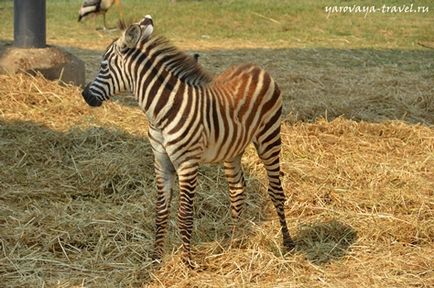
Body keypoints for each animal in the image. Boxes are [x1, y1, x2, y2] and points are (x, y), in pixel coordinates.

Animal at [81, 15, 294, 268]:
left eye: (103, 66)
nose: (85, 96)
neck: (160, 114)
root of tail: (256, 67)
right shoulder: (161, 161)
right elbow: (160, 212)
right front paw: (156, 259)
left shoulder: (187, 163)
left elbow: (184, 214)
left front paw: (188, 262)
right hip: (232, 148)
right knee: (237, 189)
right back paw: (233, 242)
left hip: (269, 137)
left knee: (276, 190)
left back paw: (287, 242)